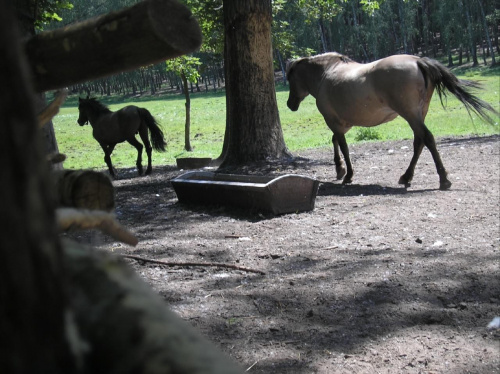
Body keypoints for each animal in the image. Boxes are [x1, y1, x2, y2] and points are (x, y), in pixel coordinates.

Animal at [288, 52, 498, 190]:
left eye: (290, 80)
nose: (290, 104)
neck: (327, 74)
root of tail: (418, 61)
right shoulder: (342, 124)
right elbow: (335, 141)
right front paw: (340, 170)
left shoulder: (333, 121)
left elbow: (343, 146)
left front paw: (347, 174)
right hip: (418, 114)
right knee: (419, 142)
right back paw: (407, 177)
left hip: (410, 114)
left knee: (427, 139)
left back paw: (443, 179)